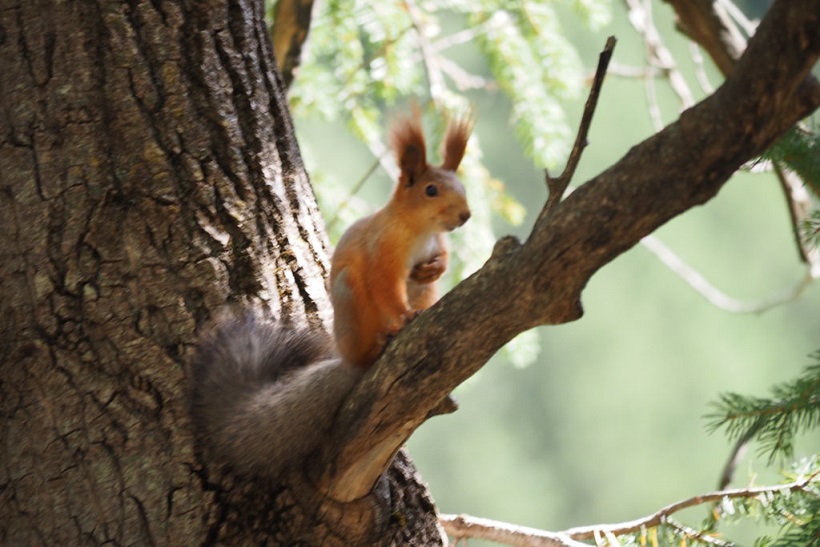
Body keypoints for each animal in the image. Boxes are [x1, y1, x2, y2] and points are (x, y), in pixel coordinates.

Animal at [332, 111, 474, 368]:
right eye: (430, 190)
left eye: (463, 188)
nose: (465, 215)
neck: (421, 230)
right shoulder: (383, 246)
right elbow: (385, 283)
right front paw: (406, 314)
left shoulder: (437, 241)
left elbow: (444, 257)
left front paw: (436, 268)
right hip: (348, 301)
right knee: (360, 356)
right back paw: (375, 347)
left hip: (426, 293)